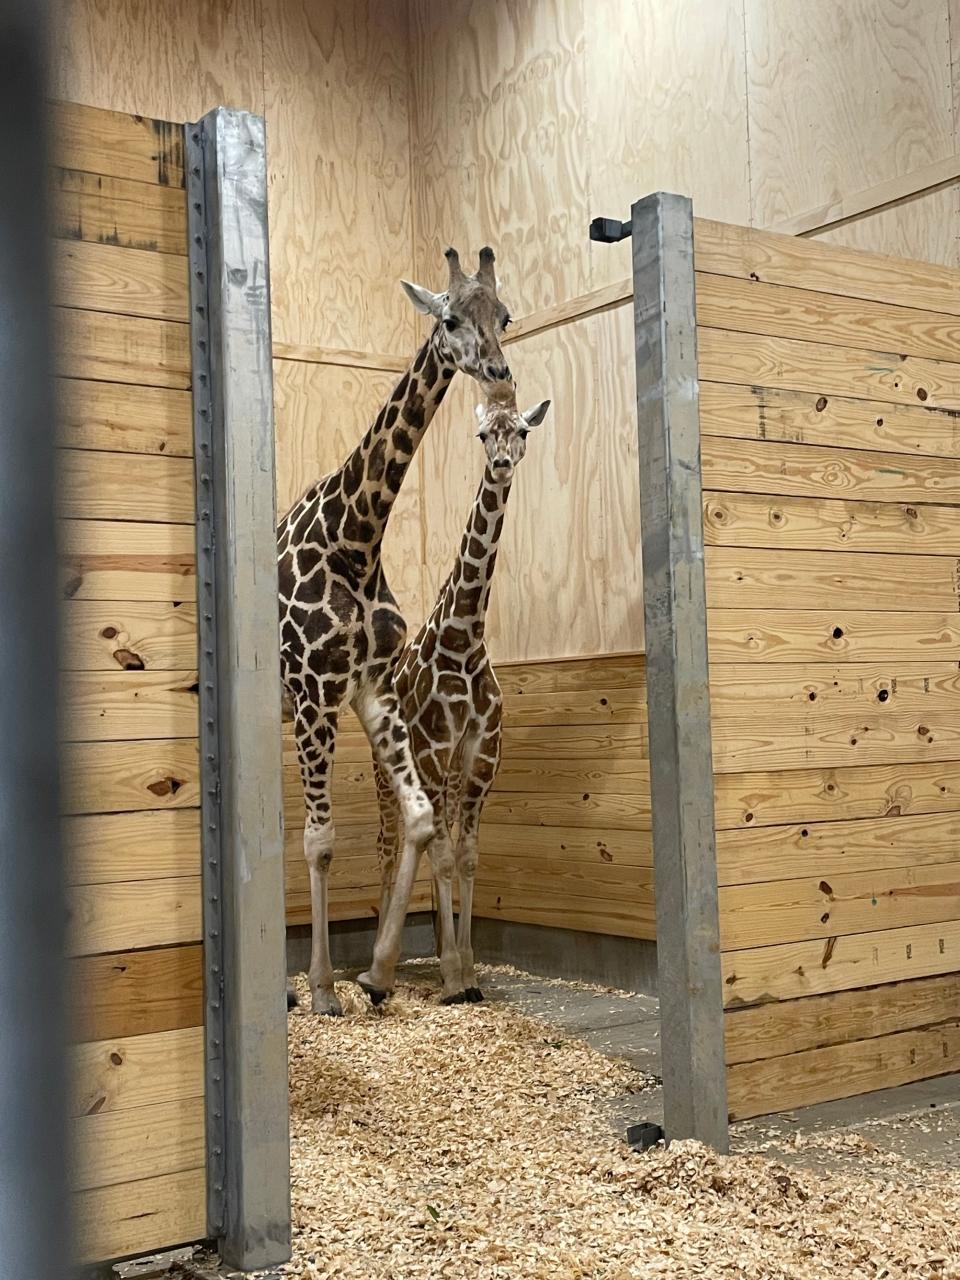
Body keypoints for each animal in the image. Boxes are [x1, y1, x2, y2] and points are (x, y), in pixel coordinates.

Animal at [280, 247, 514, 1008]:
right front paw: (326, 986)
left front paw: (379, 972)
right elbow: (322, 840)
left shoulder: (370, 690)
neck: (356, 537)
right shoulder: (316, 690)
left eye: (504, 316)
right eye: (450, 319)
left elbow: (418, 820)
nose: (499, 374)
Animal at [366, 378, 547, 998]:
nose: (502, 463)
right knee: (390, 844)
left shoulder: (481, 753)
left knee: (417, 841)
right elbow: (442, 857)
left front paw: (467, 969)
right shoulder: (436, 751)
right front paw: (449, 976)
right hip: (388, 769)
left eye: (522, 431)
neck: (465, 638)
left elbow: (465, 857)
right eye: (482, 434)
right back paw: (381, 958)